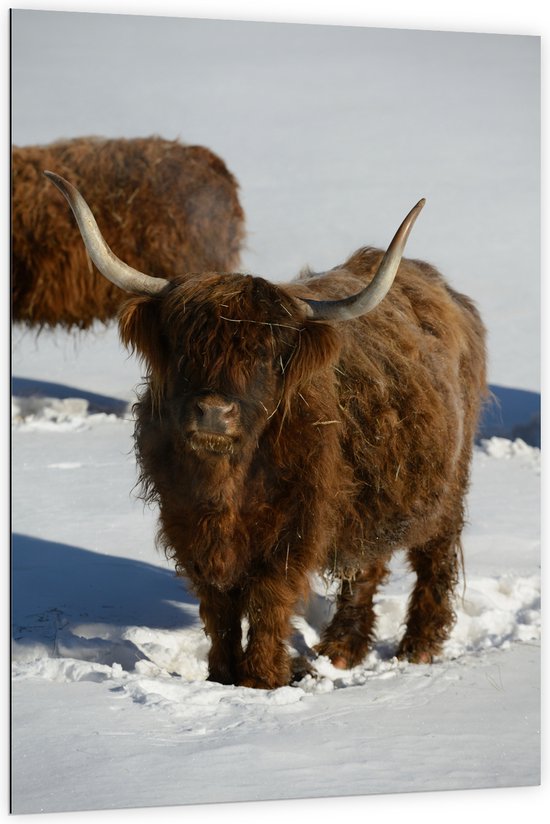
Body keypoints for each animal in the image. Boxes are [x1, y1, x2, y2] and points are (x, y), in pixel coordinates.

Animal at [46, 171, 488, 692]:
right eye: (185, 348)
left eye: (263, 354)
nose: (214, 413)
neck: (226, 487)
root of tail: (442, 289)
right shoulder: (187, 525)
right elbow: (217, 606)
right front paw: (222, 675)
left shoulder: (294, 528)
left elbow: (267, 599)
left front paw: (261, 679)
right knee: (364, 566)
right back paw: (340, 651)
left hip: (447, 486)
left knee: (433, 558)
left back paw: (417, 648)